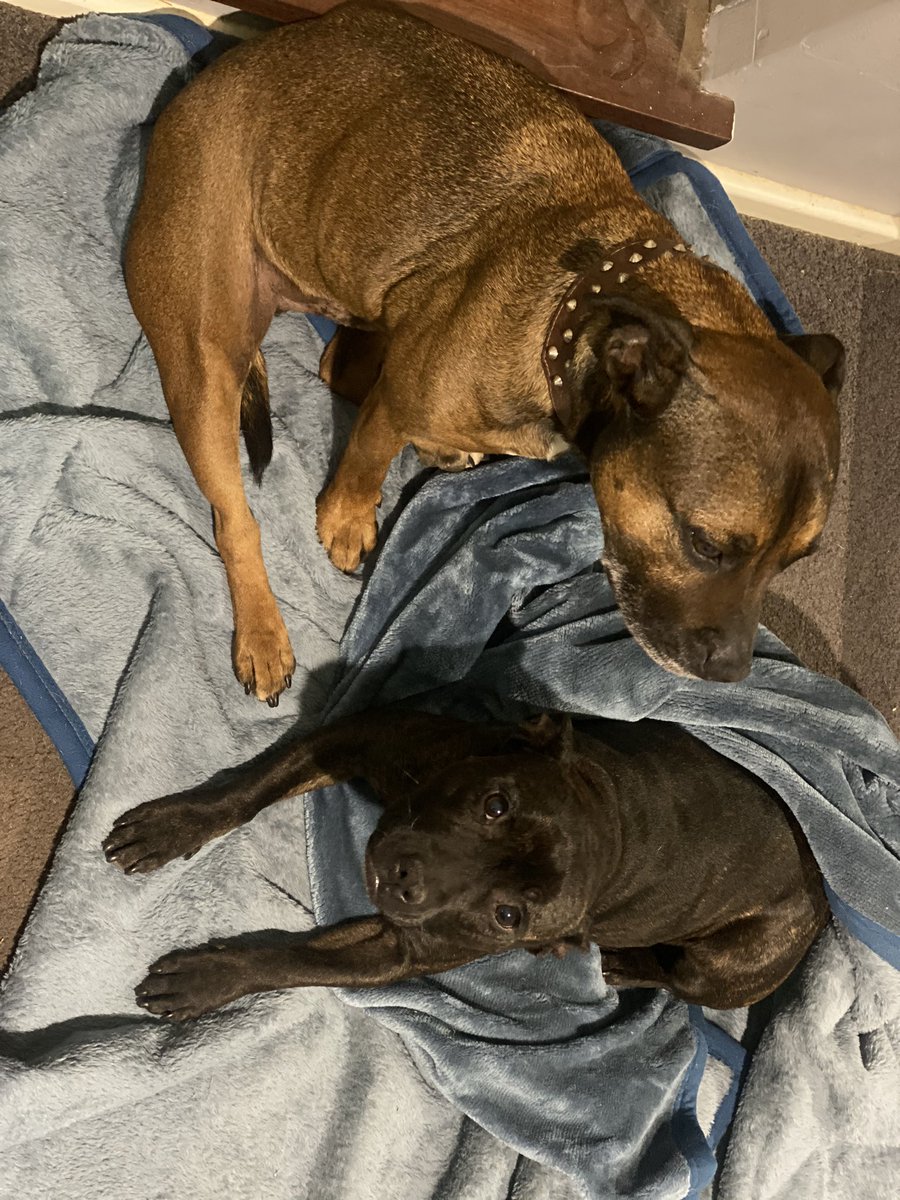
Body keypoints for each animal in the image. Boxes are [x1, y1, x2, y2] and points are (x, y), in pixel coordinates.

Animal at [100, 705, 830, 1017]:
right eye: (495, 804)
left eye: (509, 916)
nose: (408, 882)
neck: (610, 820)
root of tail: (822, 895)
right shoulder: (355, 738)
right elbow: (247, 791)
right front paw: (174, 826)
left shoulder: (398, 949)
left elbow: (292, 963)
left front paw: (207, 980)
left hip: (719, 966)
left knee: (676, 978)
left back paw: (621, 965)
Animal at [125, 0, 844, 700]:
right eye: (706, 545)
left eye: (789, 563)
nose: (730, 674)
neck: (579, 310)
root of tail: (198, 87)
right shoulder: (399, 398)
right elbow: (365, 459)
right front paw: (348, 519)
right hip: (203, 372)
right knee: (235, 517)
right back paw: (263, 636)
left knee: (339, 369)